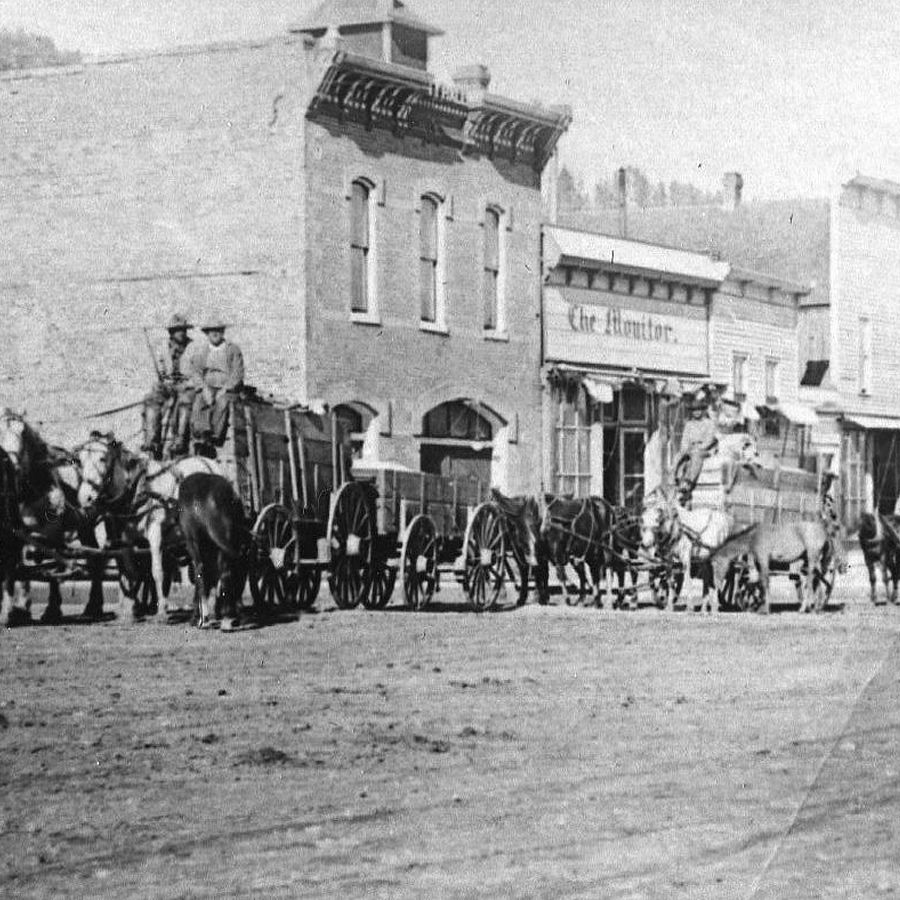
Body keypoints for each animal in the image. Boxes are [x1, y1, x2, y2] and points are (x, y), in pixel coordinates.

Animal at [0, 406, 106, 624]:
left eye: (23, 432)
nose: (12, 467)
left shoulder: (53, 531)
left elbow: (54, 566)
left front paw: (52, 608)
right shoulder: (18, 532)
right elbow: (20, 566)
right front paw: (21, 607)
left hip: (85, 524)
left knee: (95, 557)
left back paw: (94, 606)